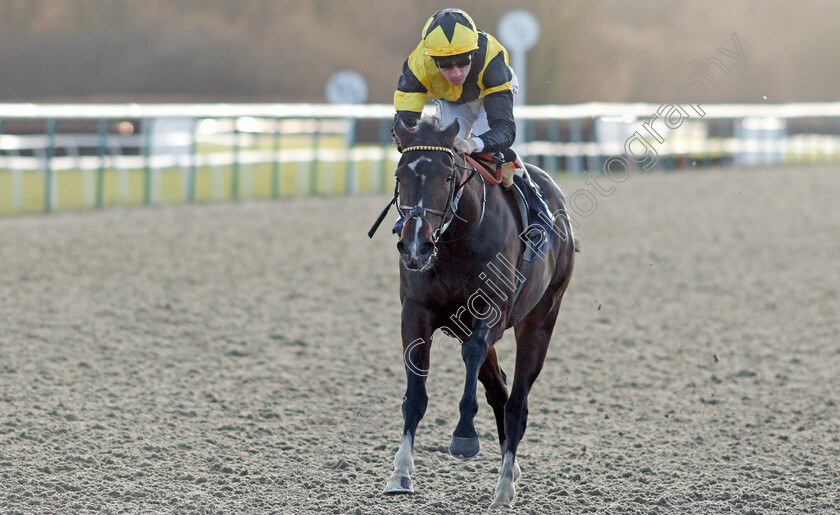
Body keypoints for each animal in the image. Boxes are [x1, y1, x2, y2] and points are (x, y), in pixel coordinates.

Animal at [376, 117, 576, 508]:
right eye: (399, 175)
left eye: (447, 176)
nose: (415, 245)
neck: (457, 237)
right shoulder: (416, 312)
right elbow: (416, 391)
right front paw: (400, 472)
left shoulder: (492, 310)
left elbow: (473, 355)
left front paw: (465, 435)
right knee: (499, 389)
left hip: (542, 315)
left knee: (517, 402)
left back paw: (504, 487)